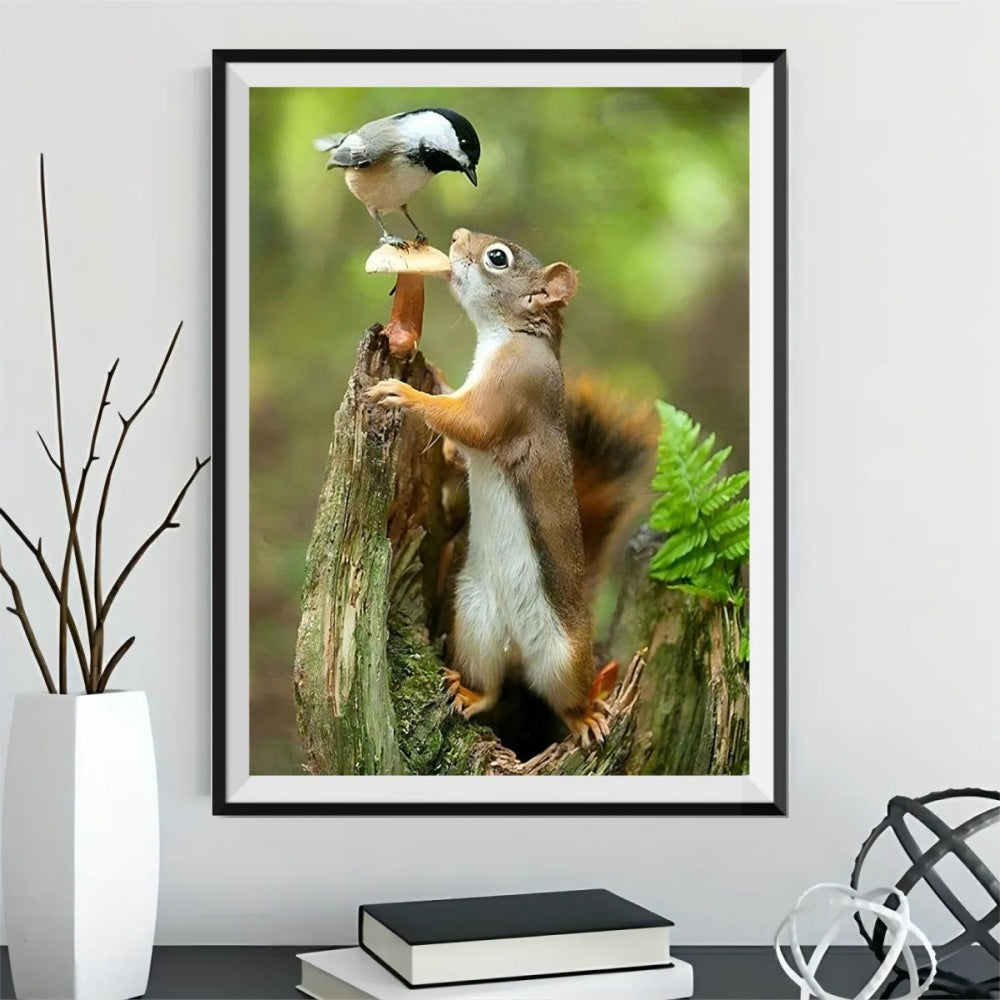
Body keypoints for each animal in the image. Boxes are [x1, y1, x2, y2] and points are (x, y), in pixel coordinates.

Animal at [367, 228, 655, 747]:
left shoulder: (513, 390)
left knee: (565, 698)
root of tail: (518, 648)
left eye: (496, 258)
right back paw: (468, 693)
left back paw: (586, 716)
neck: (513, 336)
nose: (456, 236)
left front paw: (406, 394)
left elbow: (472, 426)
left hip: (563, 657)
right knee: (492, 687)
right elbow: (460, 441)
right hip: (475, 621)